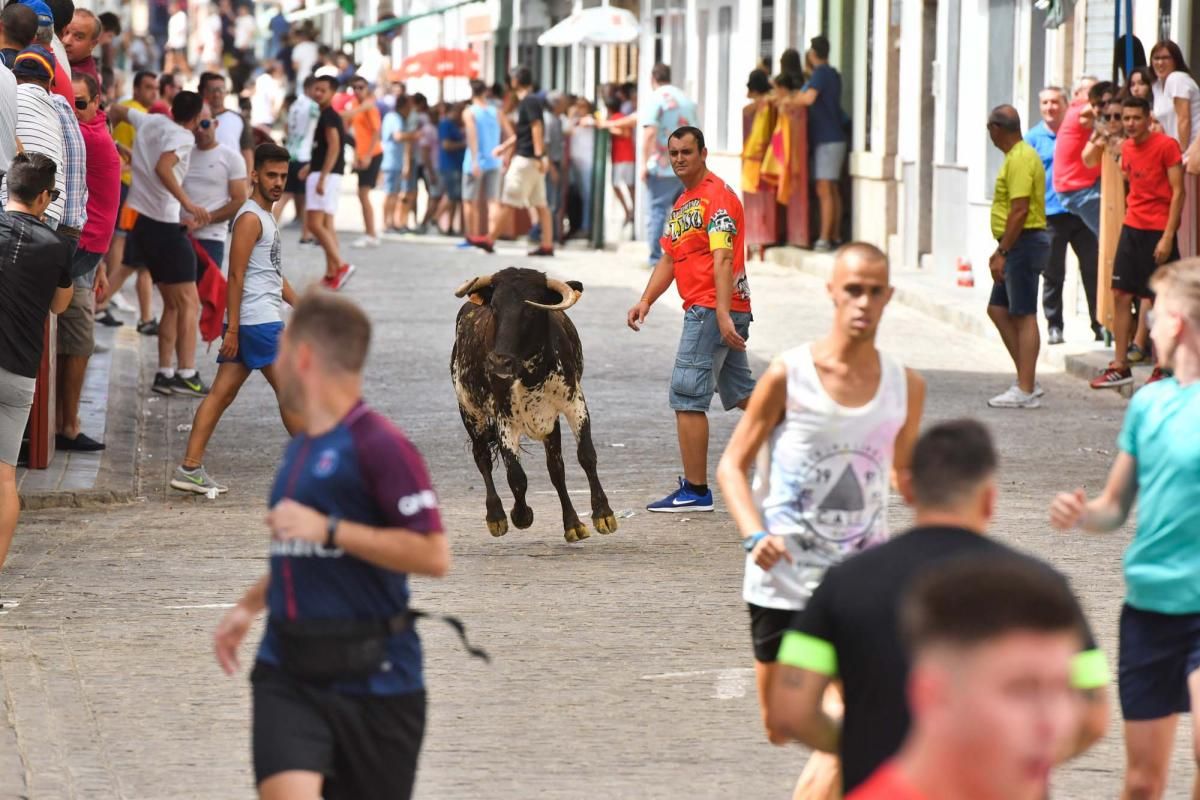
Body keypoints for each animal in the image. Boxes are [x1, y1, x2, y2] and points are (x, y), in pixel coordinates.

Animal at [451, 268, 619, 544]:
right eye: (495, 307)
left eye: (530, 310)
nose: (499, 362)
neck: (531, 371)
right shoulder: (504, 417)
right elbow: (516, 475)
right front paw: (520, 515)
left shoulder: (574, 403)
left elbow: (586, 456)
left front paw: (602, 514)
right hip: (469, 410)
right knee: (482, 457)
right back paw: (496, 516)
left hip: (549, 421)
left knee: (556, 468)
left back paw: (573, 523)